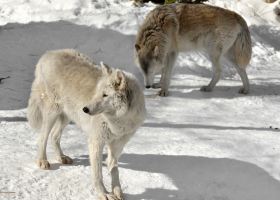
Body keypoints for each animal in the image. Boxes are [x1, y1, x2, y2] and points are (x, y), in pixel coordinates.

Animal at [27, 48, 147, 200]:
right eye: (98, 93)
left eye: (105, 95)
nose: (85, 109)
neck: (120, 119)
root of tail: (48, 54)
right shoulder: (96, 142)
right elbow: (98, 174)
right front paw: (103, 194)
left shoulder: (117, 145)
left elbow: (114, 168)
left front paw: (117, 191)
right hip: (52, 113)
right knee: (42, 137)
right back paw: (42, 161)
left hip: (67, 116)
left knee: (54, 136)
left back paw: (62, 158)